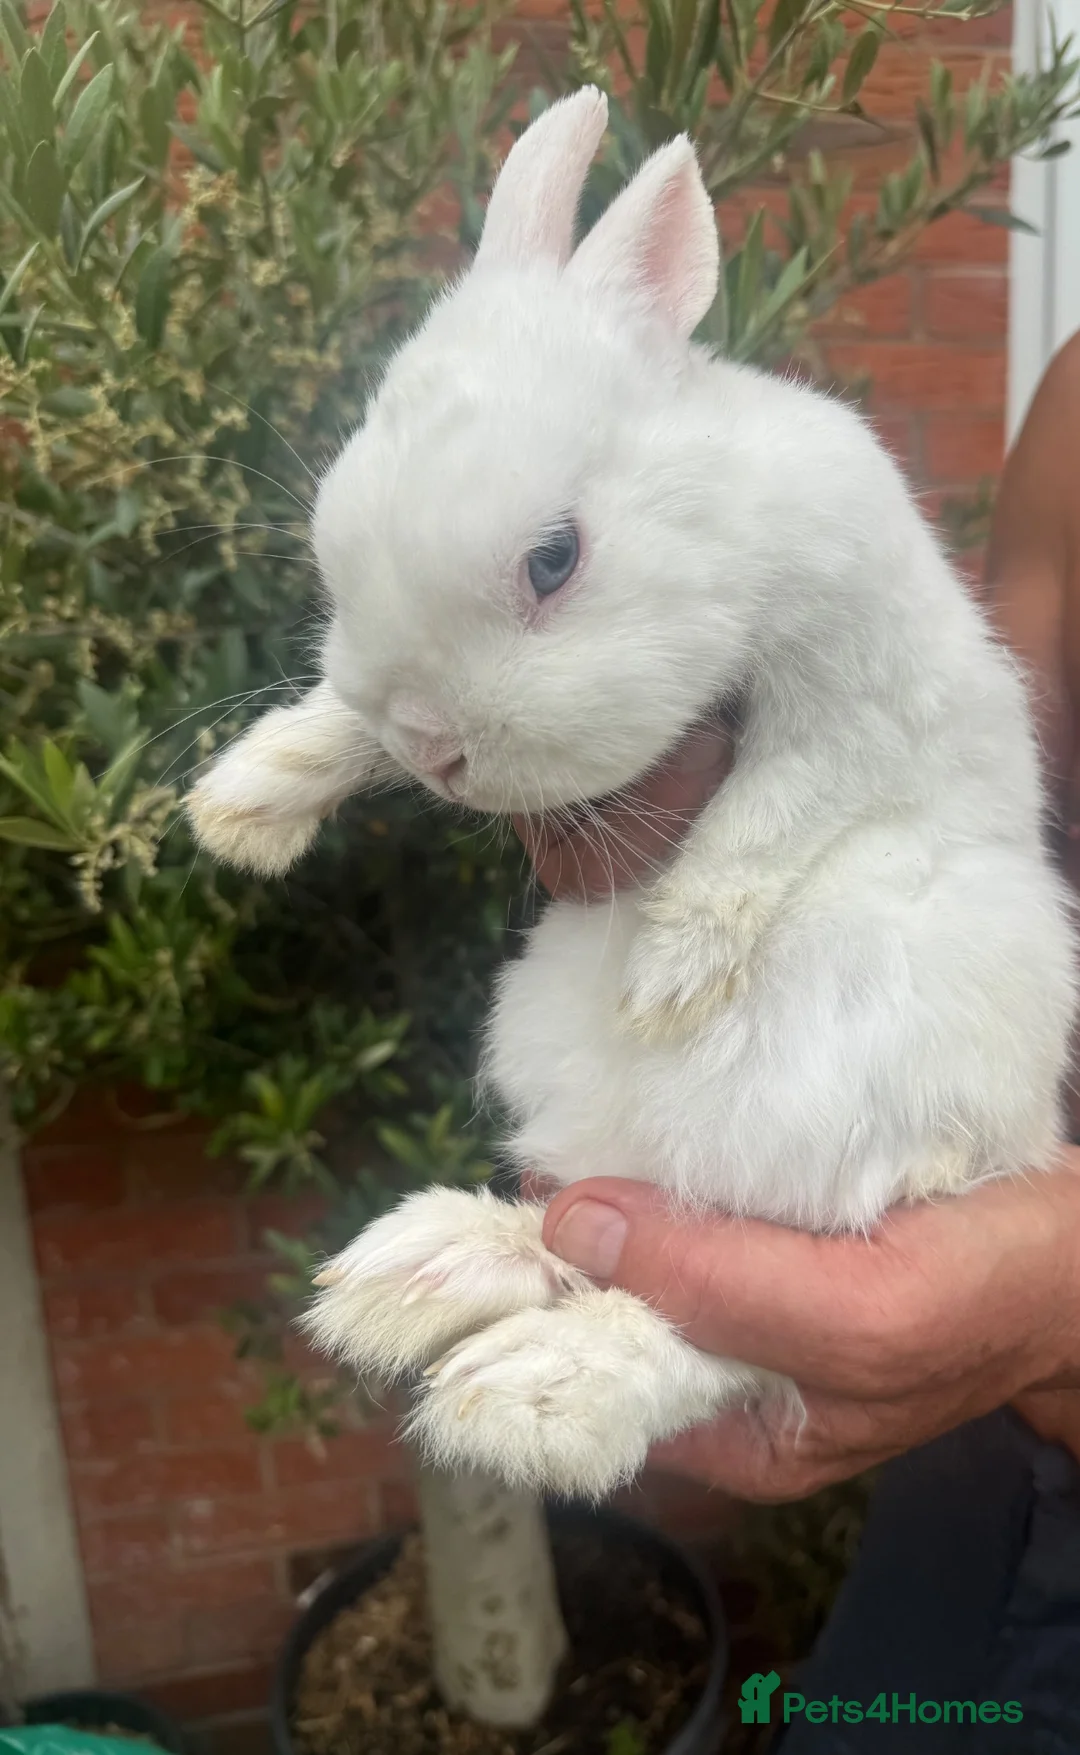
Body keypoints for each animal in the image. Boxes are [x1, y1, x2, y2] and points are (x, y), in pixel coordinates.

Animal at [187, 86, 1077, 1500]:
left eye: (554, 559)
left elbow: (775, 815)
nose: (439, 752)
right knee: (578, 1222)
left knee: (730, 1334)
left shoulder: (858, 701)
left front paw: (671, 972)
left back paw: (535, 1391)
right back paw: (422, 1271)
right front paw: (246, 802)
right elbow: (343, 713)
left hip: (843, 1129)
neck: (717, 517)